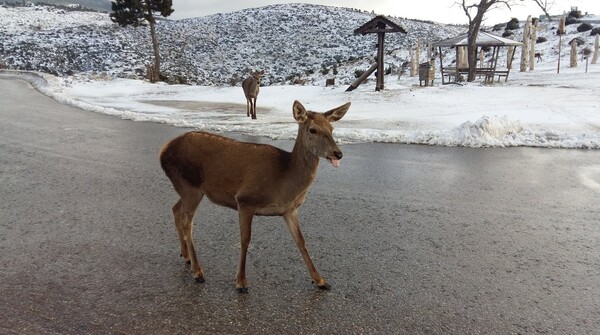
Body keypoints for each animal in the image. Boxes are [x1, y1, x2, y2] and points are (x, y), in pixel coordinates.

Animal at [159, 100, 352, 294]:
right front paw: (241, 282)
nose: (338, 153)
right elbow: (245, 240)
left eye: (332, 129)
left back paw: (186, 256)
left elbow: (301, 241)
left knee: (175, 209)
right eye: (312, 130)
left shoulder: (289, 210)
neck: (283, 179)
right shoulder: (245, 200)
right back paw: (198, 271)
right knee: (187, 223)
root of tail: (164, 150)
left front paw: (320, 280)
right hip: (190, 186)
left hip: (187, 189)